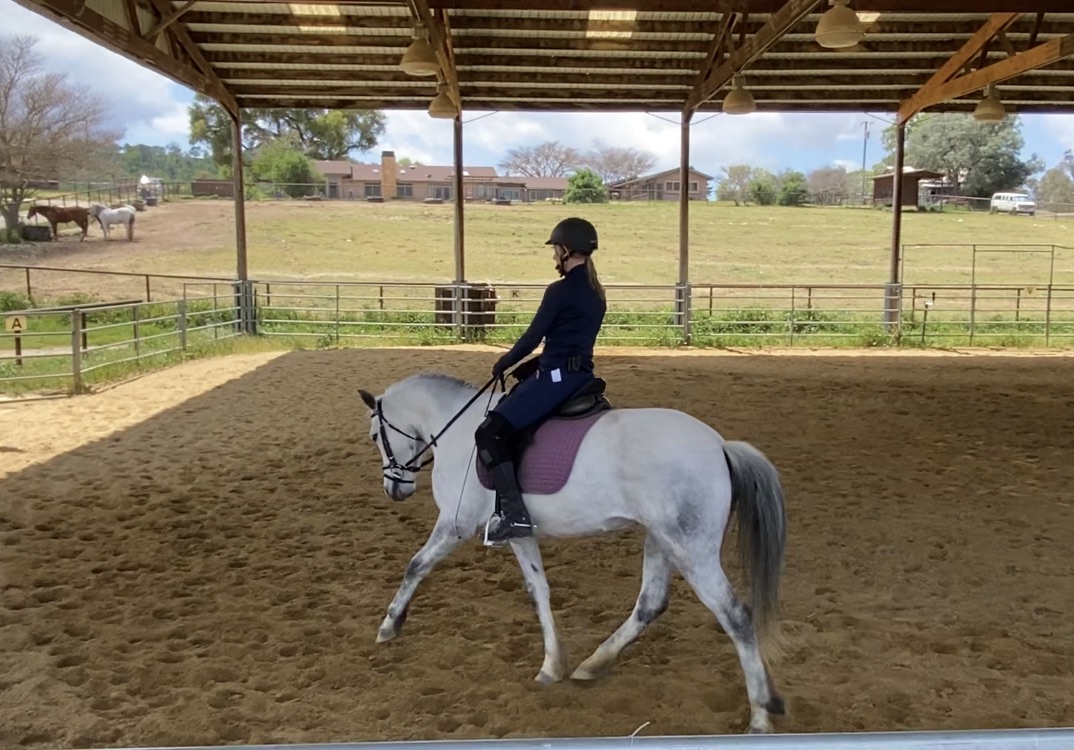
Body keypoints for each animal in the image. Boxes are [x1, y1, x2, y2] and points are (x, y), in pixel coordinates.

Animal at [358, 371, 789, 734]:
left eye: (376, 436)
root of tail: (719, 446)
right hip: (661, 540)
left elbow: (416, 565)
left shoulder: (455, 523)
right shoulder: (517, 533)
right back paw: (594, 664)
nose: (394, 489)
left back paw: (760, 716)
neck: (457, 429)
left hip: (692, 549)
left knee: (736, 616)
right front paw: (551, 666)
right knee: (650, 604)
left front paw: (389, 625)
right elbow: (539, 592)